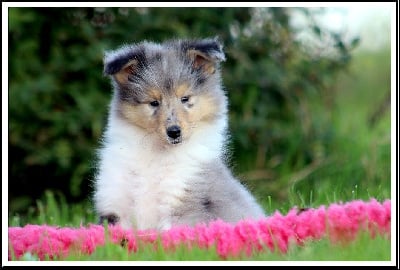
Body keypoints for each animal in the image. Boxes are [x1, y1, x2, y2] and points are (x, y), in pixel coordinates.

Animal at [94, 36, 266, 230]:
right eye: (154, 102)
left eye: (185, 99)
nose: (174, 132)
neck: (157, 153)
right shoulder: (115, 206)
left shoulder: (183, 206)